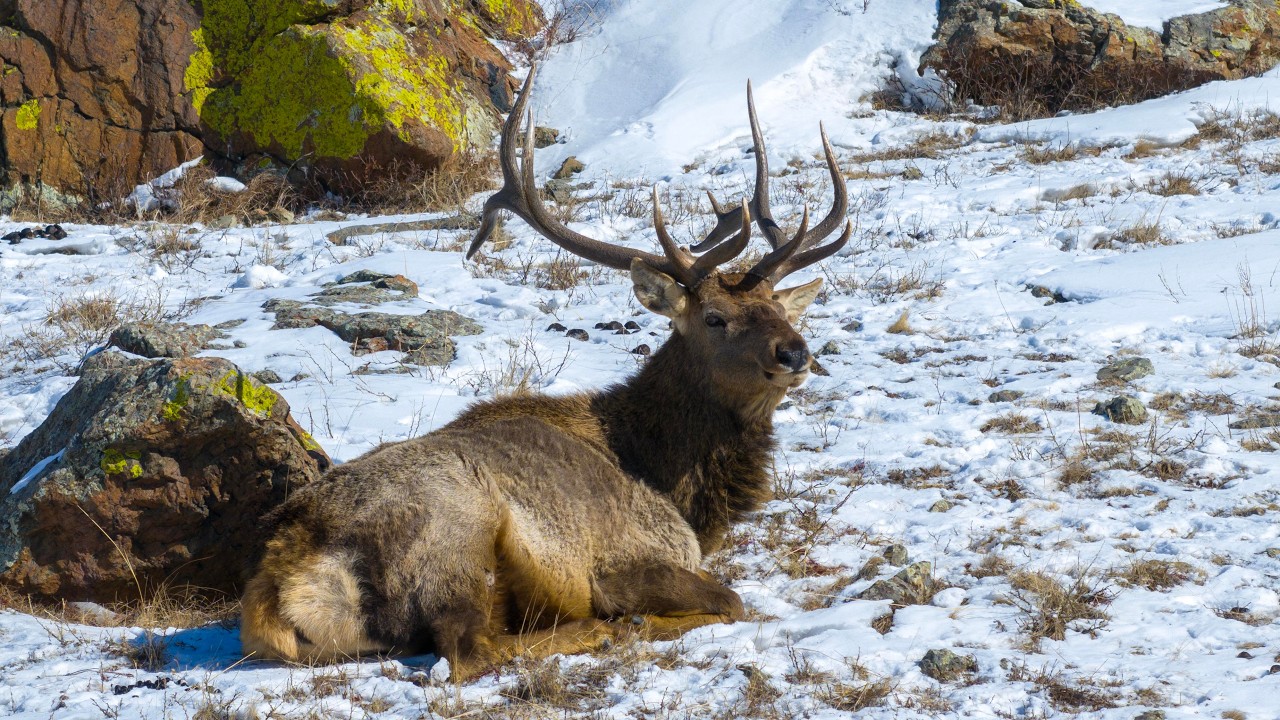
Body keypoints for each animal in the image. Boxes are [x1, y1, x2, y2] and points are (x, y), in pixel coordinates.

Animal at [240, 65, 850, 680]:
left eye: (780, 308)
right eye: (715, 318)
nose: (796, 353)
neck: (676, 485)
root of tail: (280, 582)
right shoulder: (631, 555)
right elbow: (731, 598)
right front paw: (633, 617)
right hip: (452, 528)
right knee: (469, 648)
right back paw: (605, 631)